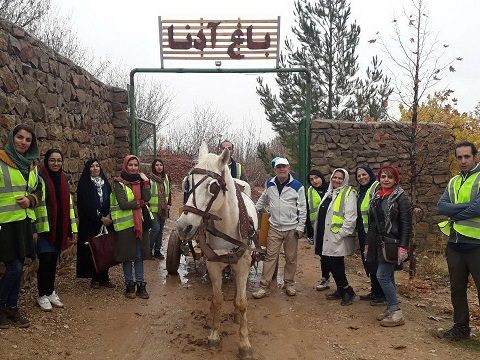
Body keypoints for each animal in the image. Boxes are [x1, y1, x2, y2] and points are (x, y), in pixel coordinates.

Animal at [176, 142, 256, 358]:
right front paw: (214, 334)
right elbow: (217, 300)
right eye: (187, 183)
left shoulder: (243, 265)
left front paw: (244, 344)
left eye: (213, 186)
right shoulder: (213, 265)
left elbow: (242, 302)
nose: (183, 226)